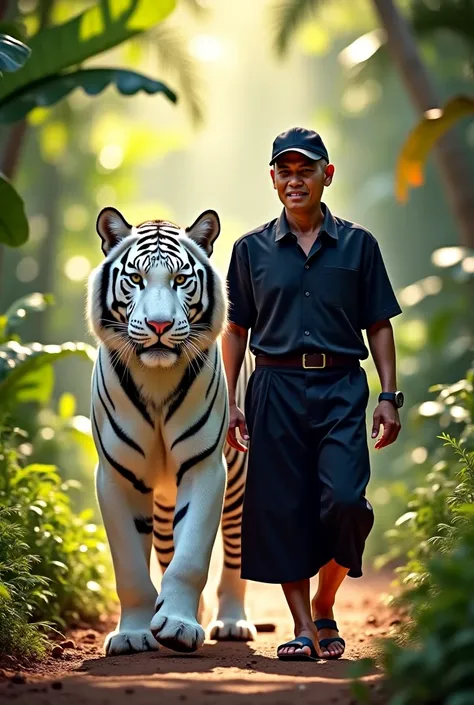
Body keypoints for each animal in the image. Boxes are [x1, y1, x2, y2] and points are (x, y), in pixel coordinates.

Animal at [85, 205, 256, 656]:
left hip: (240, 483)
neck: (157, 379)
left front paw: (177, 626)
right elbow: (131, 568)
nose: (159, 326)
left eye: (180, 280)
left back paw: (230, 622)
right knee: (164, 547)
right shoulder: (117, 476)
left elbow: (191, 557)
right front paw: (133, 634)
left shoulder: (205, 469)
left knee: (235, 555)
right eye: (136, 279)